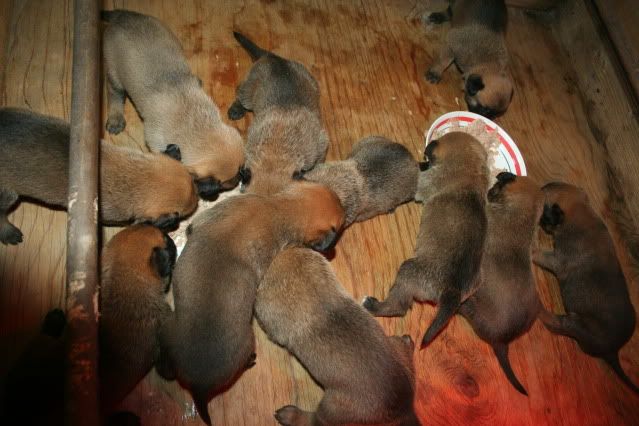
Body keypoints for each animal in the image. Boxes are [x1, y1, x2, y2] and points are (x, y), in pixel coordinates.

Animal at [102, 9, 245, 200]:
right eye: (223, 184)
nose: (238, 179)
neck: (193, 122)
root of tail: (123, 17)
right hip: (114, 74)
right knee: (115, 95)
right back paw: (115, 119)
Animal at [229, 32, 327, 195]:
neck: (277, 151)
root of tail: (273, 57)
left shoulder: (321, 144)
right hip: (248, 92)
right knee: (240, 96)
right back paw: (236, 110)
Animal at [256, 248, 419, 426]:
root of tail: (405, 409)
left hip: (330, 408)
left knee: (313, 419)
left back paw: (291, 415)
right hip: (394, 345)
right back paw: (407, 341)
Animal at [363, 132, 489, 348]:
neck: (470, 172)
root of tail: (453, 291)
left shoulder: (423, 183)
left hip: (408, 271)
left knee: (399, 306)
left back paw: (373, 306)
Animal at [534, 182, 639, 393]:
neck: (580, 212)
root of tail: (613, 352)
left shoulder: (556, 260)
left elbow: (538, 253)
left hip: (575, 323)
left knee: (555, 324)